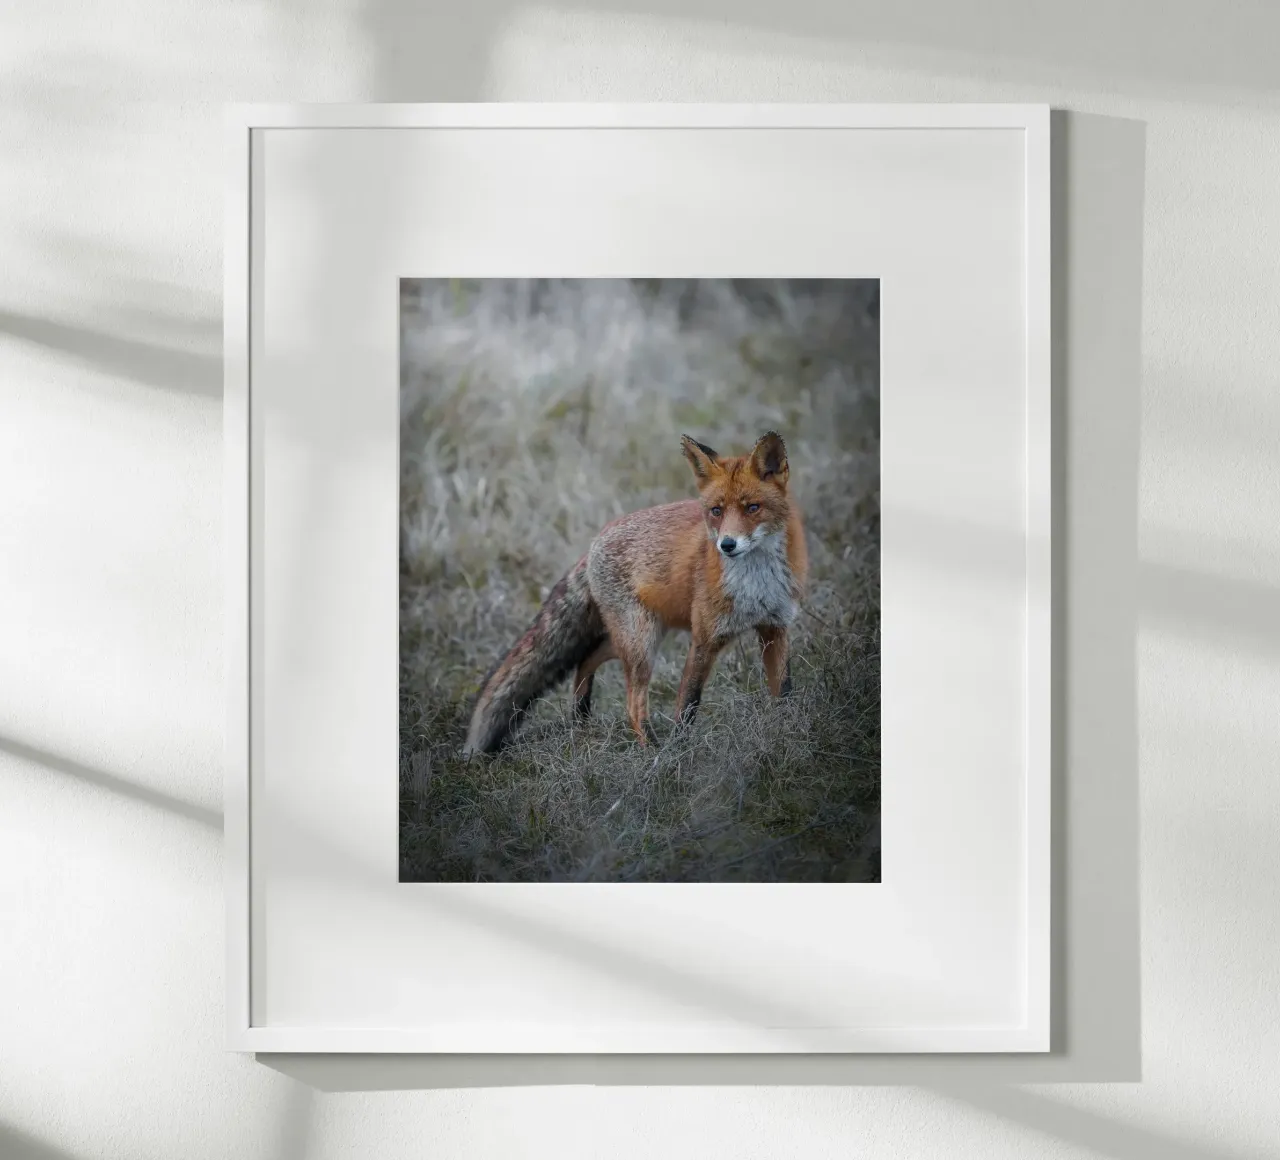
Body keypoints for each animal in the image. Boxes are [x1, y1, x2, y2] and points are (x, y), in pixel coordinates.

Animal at [462, 430, 808, 756]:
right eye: (716, 511)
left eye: (753, 508)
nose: (727, 545)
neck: (755, 583)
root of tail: (594, 542)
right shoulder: (705, 637)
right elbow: (688, 705)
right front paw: (679, 753)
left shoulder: (775, 627)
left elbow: (784, 691)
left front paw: (786, 734)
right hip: (641, 643)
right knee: (632, 701)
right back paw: (650, 750)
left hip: (638, 637)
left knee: (587, 658)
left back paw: (581, 716)